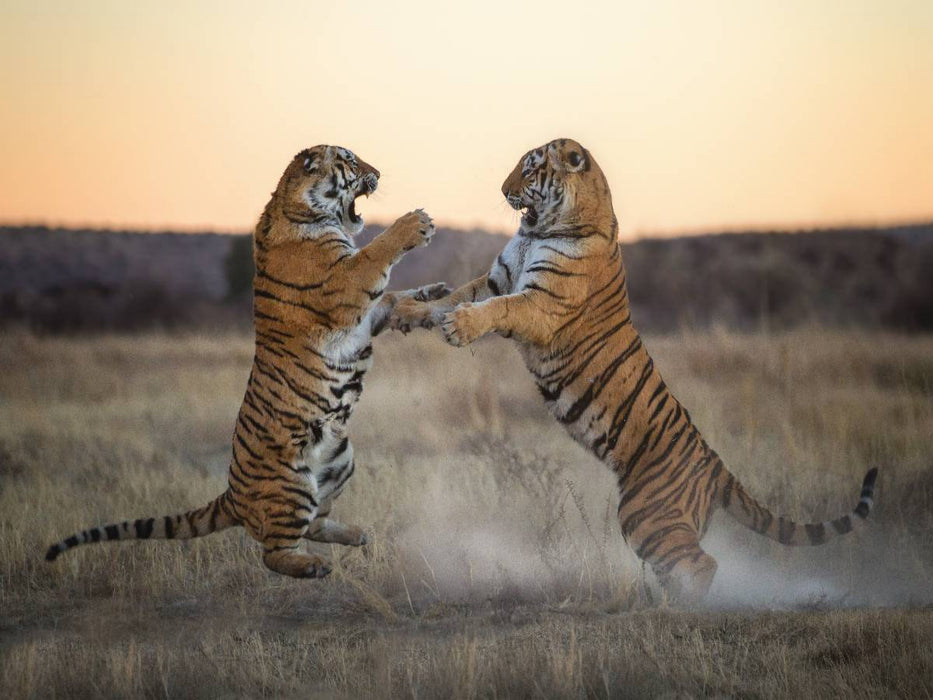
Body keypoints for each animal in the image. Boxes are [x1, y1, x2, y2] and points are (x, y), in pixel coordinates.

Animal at [46, 145, 447, 578]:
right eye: (351, 161)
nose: (379, 173)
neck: (301, 209)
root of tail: (232, 496)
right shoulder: (345, 286)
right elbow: (374, 255)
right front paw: (415, 224)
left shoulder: (365, 315)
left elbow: (398, 300)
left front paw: (435, 300)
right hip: (292, 487)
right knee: (275, 551)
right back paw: (314, 566)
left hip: (341, 460)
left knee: (316, 524)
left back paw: (358, 534)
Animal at [391, 137, 878, 601]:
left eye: (530, 169)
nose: (502, 189)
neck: (542, 229)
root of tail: (715, 464)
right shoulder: (497, 279)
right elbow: (455, 296)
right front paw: (405, 310)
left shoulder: (540, 305)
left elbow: (496, 308)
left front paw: (458, 327)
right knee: (683, 565)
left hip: (646, 514)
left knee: (703, 566)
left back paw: (675, 610)